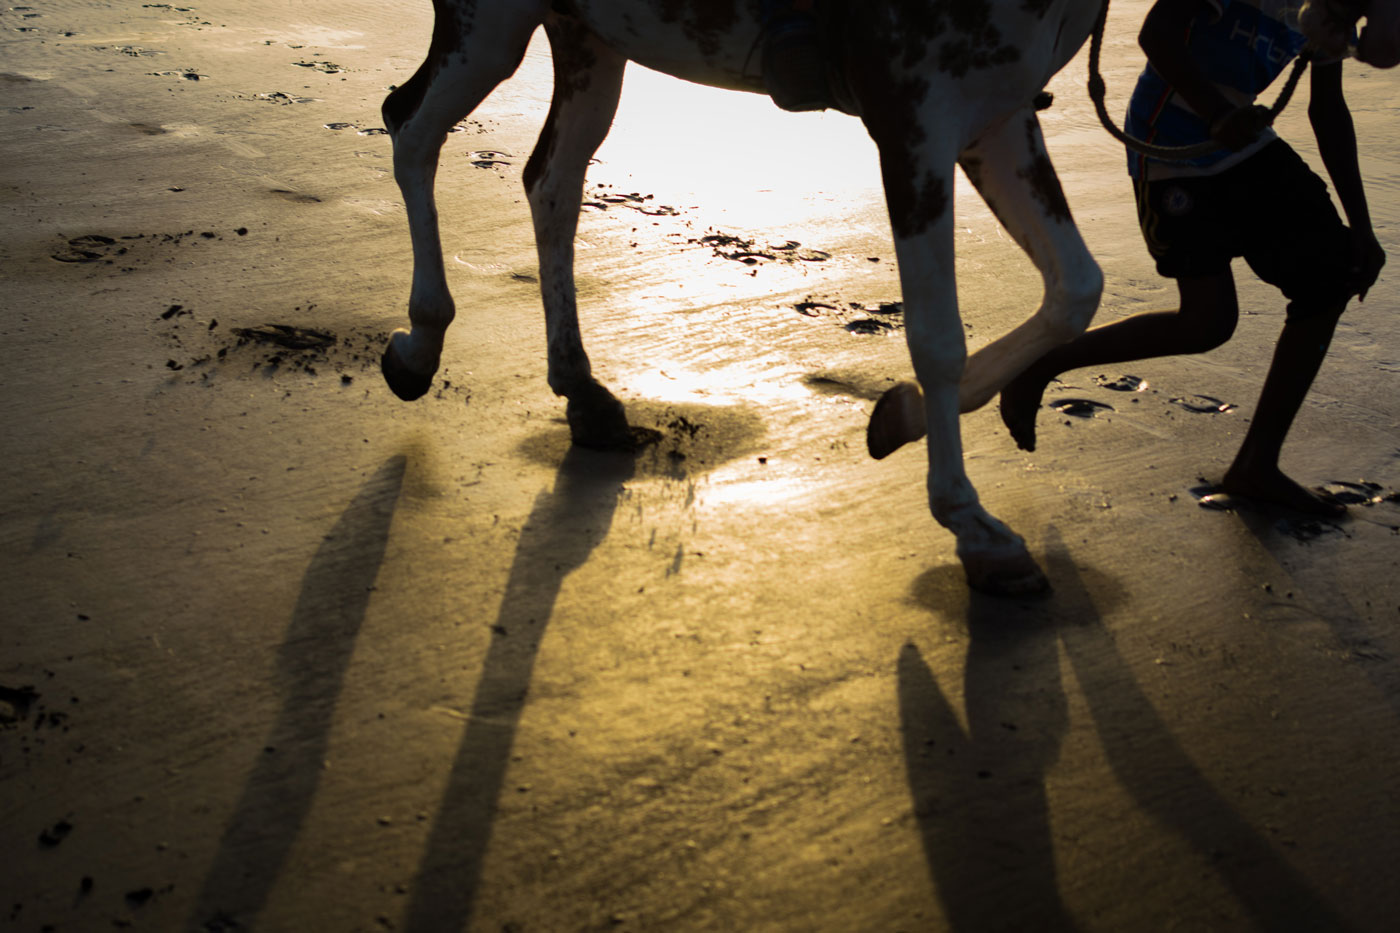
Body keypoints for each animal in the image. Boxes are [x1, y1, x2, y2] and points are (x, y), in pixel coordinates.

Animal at [378, 0, 1109, 595]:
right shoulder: (915, 119)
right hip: (490, 23)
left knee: (550, 183)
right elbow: (937, 338)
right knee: (410, 126)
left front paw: (901, 419)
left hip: (588, 36)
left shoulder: (998, 113)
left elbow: (1075, 288)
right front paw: (971, 524)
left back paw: (583, 393)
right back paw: (420, 343)